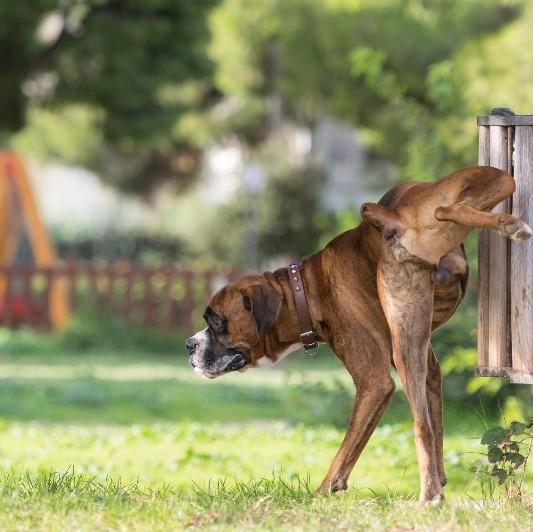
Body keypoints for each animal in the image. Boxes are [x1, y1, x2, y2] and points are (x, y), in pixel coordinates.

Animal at [185, 165, 528, 502]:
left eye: (216, 320)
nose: (189, 344)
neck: (306, 289)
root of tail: (394, 217)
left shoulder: (373, 383)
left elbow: (348, 446)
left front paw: (323, 491)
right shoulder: (429, 368)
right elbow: (436, 421)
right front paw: (441, 478)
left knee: (420, 426)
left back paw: (428, 496)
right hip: (492, 181)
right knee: (451, 207)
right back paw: (507, 223)